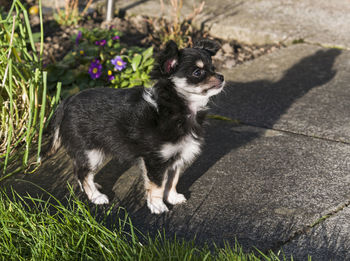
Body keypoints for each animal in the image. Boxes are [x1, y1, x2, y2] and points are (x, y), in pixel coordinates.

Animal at [43, 39, 224, 213]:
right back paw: (96, 196)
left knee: (80, 171)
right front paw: (157, 206)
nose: (222, 77)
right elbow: (157, 186)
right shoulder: (155, 160)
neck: (178, 107)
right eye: (197, 72)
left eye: (213, 68)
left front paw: (172, 197)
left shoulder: (177, 157)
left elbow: (172, 180)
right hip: (91, 152)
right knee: (82, 173)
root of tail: (65, 103)